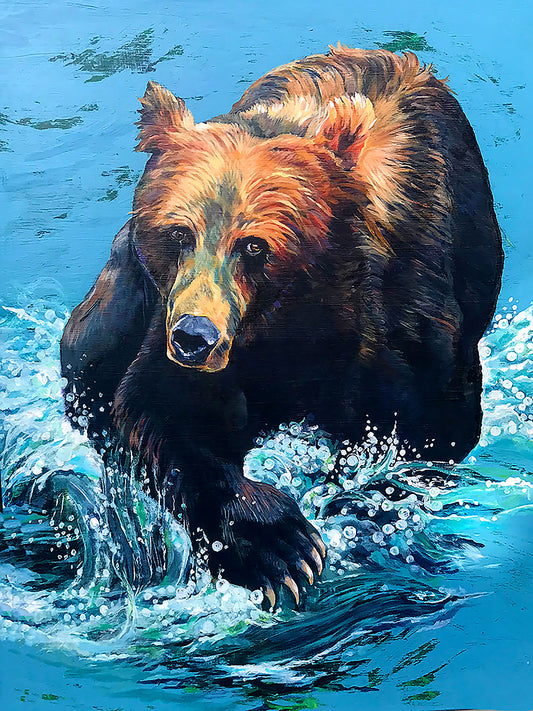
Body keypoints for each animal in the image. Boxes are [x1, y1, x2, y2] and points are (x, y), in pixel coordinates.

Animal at [60, 45, 503, 606]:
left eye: (254, 245)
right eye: (179, 233)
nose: (194, 337)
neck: (295, 320)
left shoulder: (403, 327)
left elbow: (426, 436)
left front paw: (357, 514)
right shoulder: (194, 338)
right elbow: (161, 413)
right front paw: (280, 549)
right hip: (117, 300)